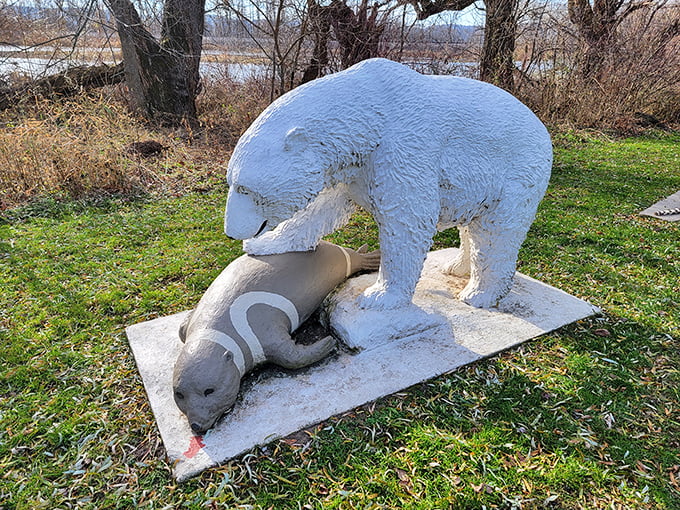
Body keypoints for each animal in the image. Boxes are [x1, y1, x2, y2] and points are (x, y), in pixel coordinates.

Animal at [223, 57, 552, 308]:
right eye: (231, 182)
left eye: (244, 188)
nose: (231, 232)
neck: (371, 115)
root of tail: (542, 128)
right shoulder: (354, 166)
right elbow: (322, 209)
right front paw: (263, 244)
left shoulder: (405, 146)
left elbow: (408, 220)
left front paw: (380, 297)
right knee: (474, 222)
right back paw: (457, 266)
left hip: (517, 172)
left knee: (498, 231)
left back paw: (479, 293)